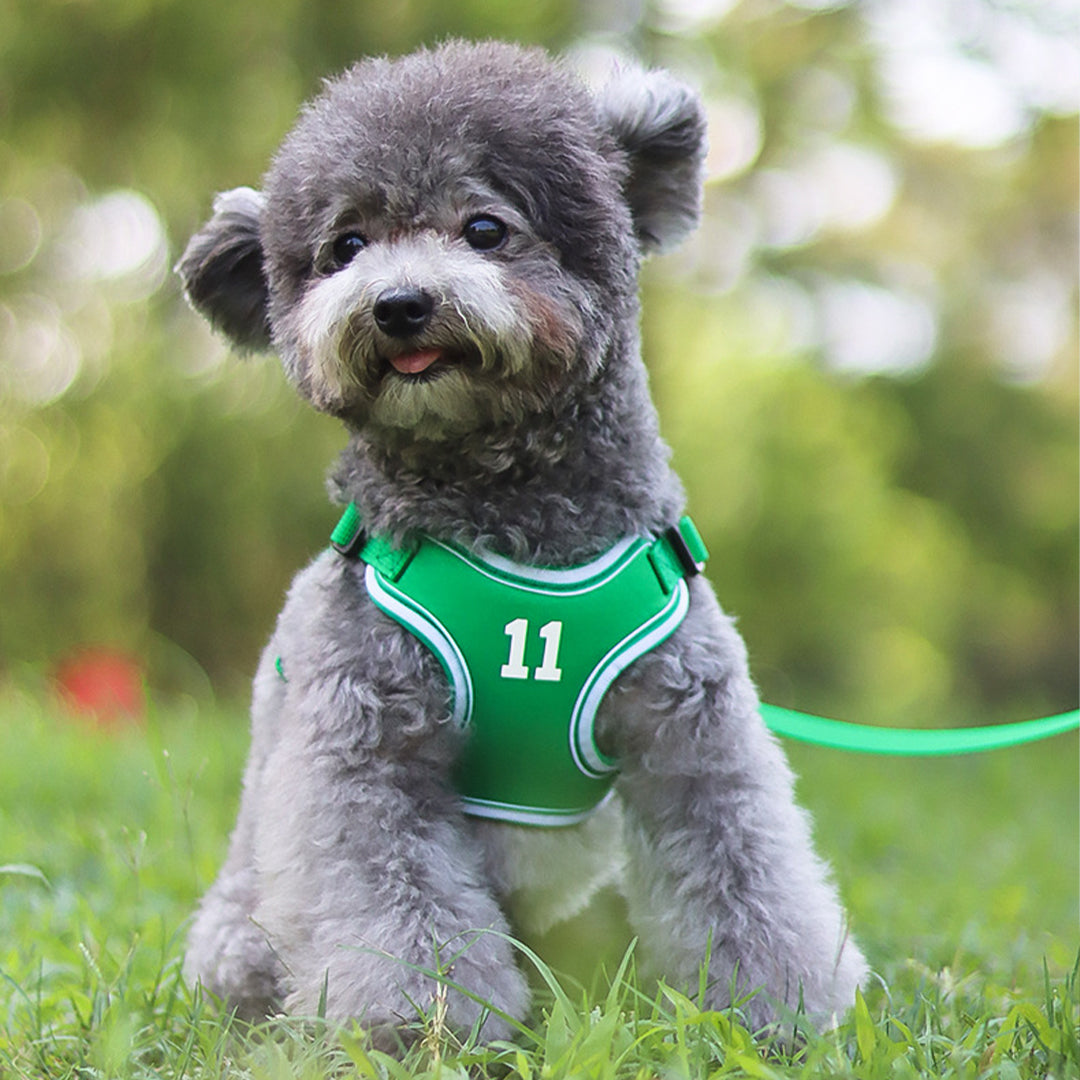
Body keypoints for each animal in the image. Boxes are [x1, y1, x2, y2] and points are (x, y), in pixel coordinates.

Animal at [179, 39, 868, 1045]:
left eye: (485, 228)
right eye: (345, 247)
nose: (397, 303)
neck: (513, 513)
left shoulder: (694, 732)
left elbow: (746, 876)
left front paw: (774, 1015)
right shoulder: (365, 742)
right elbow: (393, 896)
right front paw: (423, 1027)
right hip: (243, 934)